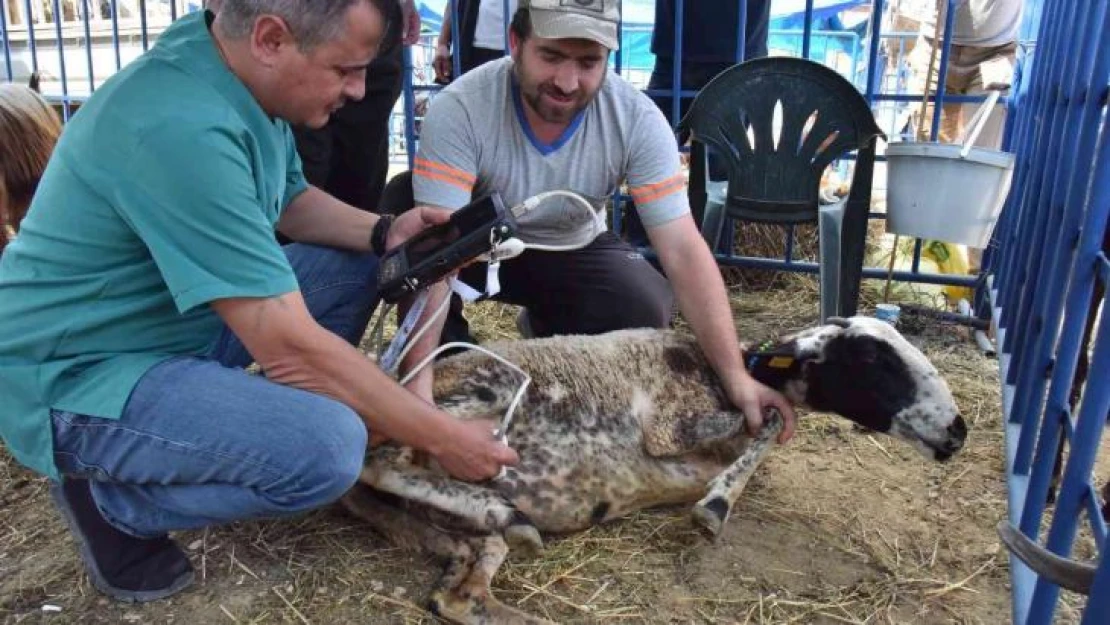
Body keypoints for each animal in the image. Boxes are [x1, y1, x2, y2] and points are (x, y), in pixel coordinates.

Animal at [339, 317, 972, 625]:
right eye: (869, 356)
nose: (959, 429)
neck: (717, 370)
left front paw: (718, 496)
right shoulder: (668, 424)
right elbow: (769, 420)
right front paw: (714, 507)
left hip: (469, 529)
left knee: (458, 594)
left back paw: (505, 550)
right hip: (472, 397)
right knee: (379, 460)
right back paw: (497, 506)